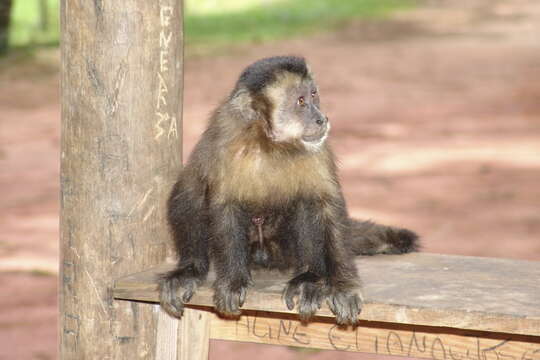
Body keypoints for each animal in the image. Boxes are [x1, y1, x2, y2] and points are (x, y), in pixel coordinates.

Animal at [158, 56, 420, 326]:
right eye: (301, 101)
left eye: (314, 95)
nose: (321, 118)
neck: (271, 143)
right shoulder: (226, 135)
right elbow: (224, 205)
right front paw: (232, 281)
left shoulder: (318, 148)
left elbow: (327, 206)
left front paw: (343, 285)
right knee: (191, 191)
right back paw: (190, 269)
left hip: (284, 249)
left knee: (305, 202)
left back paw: (309, 277)